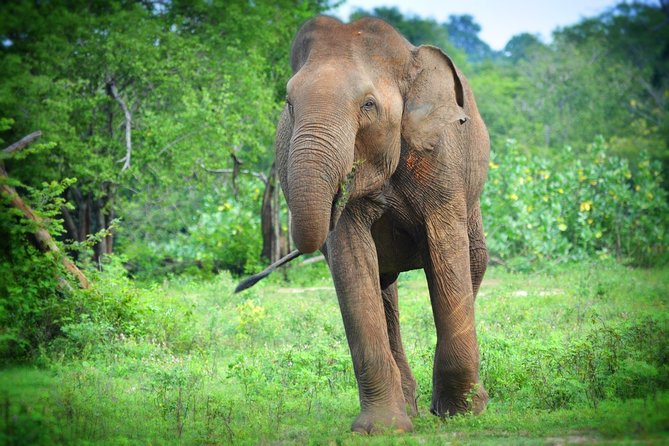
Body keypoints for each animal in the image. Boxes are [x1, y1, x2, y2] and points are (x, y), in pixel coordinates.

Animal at [274, 16, 490, 433]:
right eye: (289, 104)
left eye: (368, 105)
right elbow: (351, 260)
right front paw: (383, 429)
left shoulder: (441, 157)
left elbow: (445, 254)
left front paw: (461, 413)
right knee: (383, 287)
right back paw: (410, 408)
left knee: (474, 261)